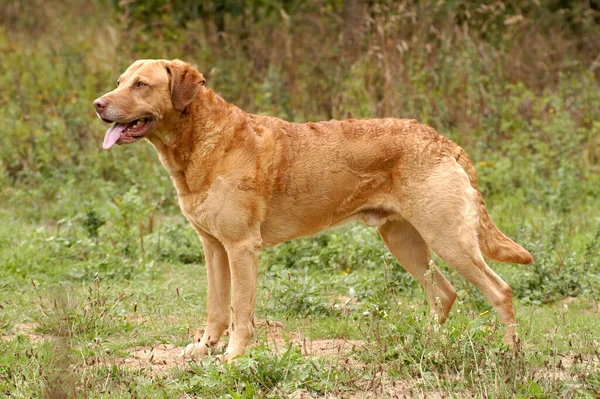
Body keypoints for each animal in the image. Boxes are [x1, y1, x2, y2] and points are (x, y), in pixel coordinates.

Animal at [95, 58, 536, 362]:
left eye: (141, 84)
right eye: (119, 82)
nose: (98, 104)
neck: (201, 141)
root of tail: (445, 142)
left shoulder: (241, 247)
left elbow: (240, 310)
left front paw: (233, 357)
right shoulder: (213, 247)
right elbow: (216, 307)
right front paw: (204, 349)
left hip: (449, 240)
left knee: (500, 291)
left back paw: (510, 355)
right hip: (402, 239)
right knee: (444, 294)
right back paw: (425, 348)